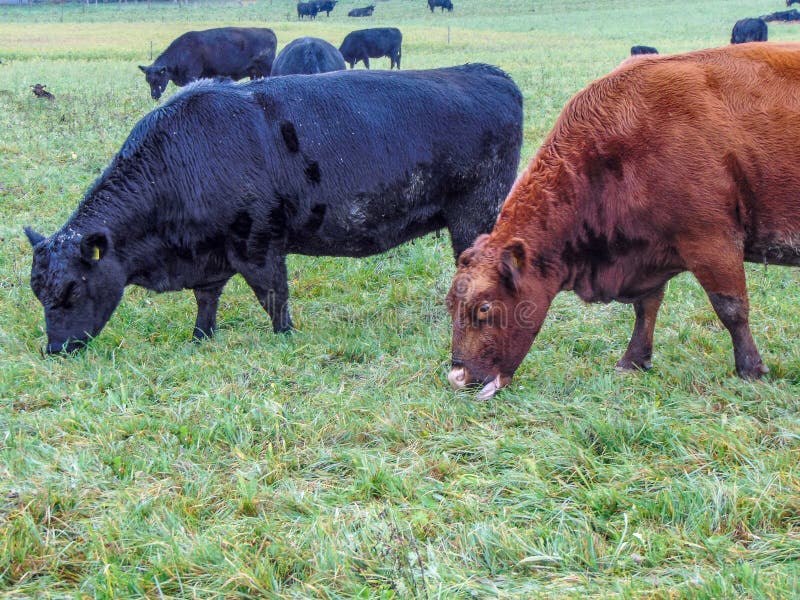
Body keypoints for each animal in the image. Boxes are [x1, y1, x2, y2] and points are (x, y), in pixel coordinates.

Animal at [25, 64, 523, 355]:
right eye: (38, 292)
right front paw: (201, 337)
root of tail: (486, 72)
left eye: (71, 289)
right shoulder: (211, 253)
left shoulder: (257, 242)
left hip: (475, 214)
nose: (54, 349)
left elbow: (273, 295)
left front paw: (284, 337)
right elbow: (207, 298)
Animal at [138, 28, 277, 100]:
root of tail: (268, 30)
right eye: (148, 80)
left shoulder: (192, 75)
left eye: (157, 79)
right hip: (255, 73)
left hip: (267, 69)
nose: (154, 96)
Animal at [446, 43, 800, 400]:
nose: (457, 377)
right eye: (451, 306)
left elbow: (732, 308)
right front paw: (634, 360)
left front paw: (750, 369)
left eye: (484, 307)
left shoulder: (712, 241)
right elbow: (646, 307)